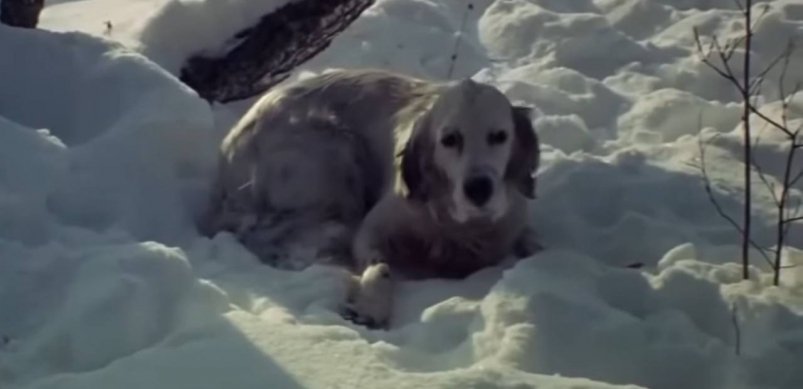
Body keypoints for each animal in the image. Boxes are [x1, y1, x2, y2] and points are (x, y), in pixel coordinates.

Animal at [199, 68, 544, 326]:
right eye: (449, 139)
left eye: (499, 136)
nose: (479, 189)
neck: (456, 225)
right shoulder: (373, 229)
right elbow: (381, 269)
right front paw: (371, 307)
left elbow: (531, 243)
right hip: (336, 151)